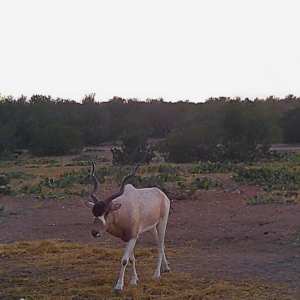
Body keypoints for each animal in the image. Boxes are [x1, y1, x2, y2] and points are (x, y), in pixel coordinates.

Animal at [83, 162, 170, 292]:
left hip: (162, 223)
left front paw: (119, 286)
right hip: (152, 228)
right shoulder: (126, 238)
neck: (123, 210)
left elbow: (124, 260)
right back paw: (167, 268)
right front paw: (134, 280)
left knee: (160, 247)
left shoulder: (133, 237)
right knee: (161, 245)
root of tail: (162, 194)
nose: (95, 232)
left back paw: (156, 274)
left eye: (106, 213)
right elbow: (131, 258)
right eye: (94, 213)